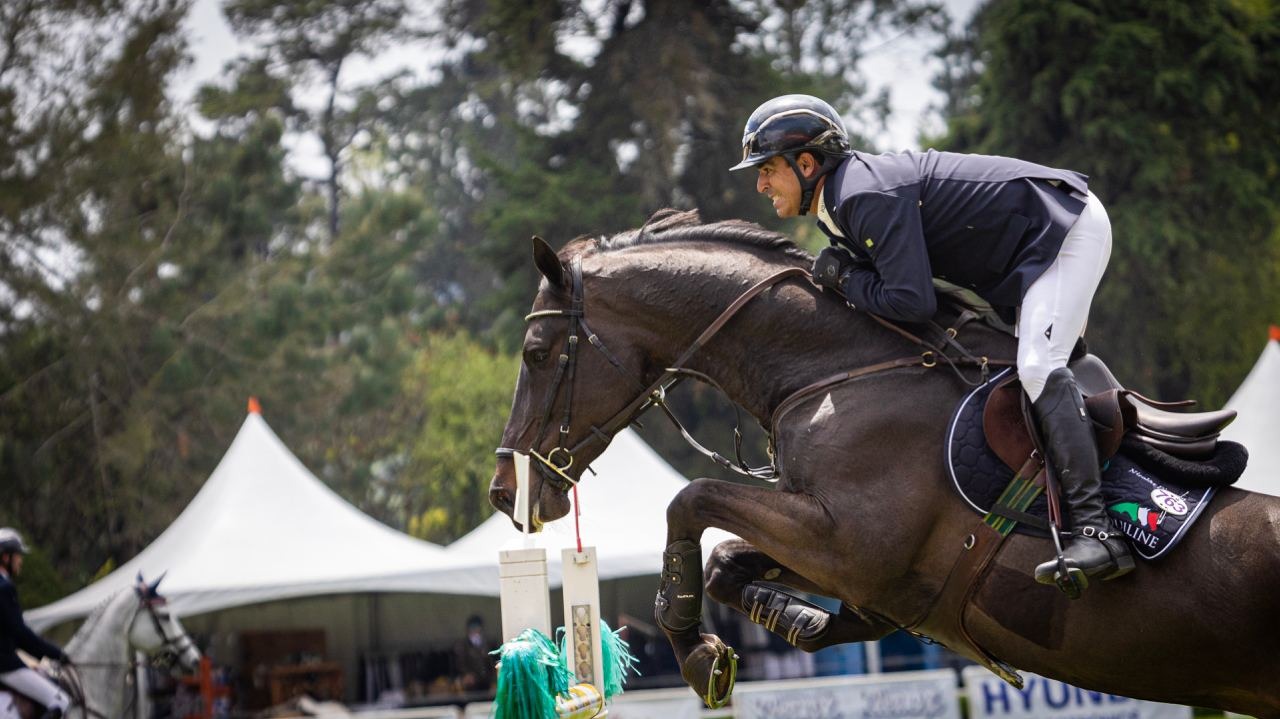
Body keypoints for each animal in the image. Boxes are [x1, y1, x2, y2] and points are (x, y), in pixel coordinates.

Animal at [486, 209, 1280, 711]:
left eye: (535, 353)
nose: (503, 490)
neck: (837, 373)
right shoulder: (838, 549)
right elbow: (726, 563)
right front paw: (793, 620)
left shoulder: (850, 542)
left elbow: (691, 503)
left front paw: (697, 652)